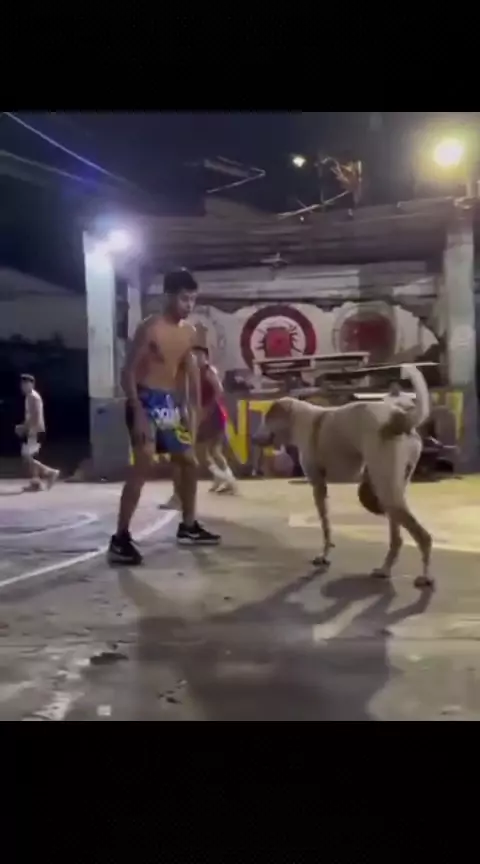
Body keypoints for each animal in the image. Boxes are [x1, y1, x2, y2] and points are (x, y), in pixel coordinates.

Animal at [254, 364, 433, 589]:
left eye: (267, 419)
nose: (253, 438)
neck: (302, 420)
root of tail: (398, 418)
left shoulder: (318, 486)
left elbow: (326, 527)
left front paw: (324, 556)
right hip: (393, 490)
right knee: (397, 539)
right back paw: (384, 570)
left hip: (387, 491)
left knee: (423, 537)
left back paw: (425, 577)